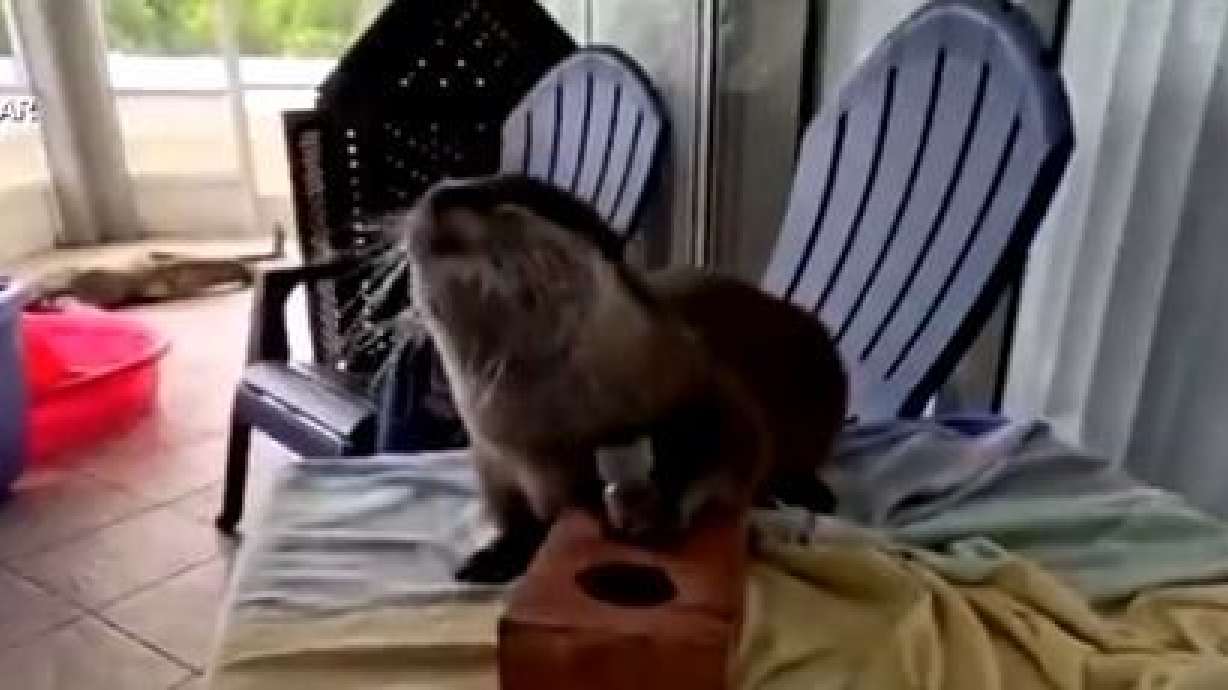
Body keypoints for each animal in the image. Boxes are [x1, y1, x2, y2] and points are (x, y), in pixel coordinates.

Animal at [401, 175, 848, 583]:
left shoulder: (714, 389)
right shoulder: (494, 461)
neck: (549, 439)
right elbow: (514, 517)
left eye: (513, 195)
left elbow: (735, 448)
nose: (440, 193)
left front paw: (660, 509)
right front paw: (498, 556)